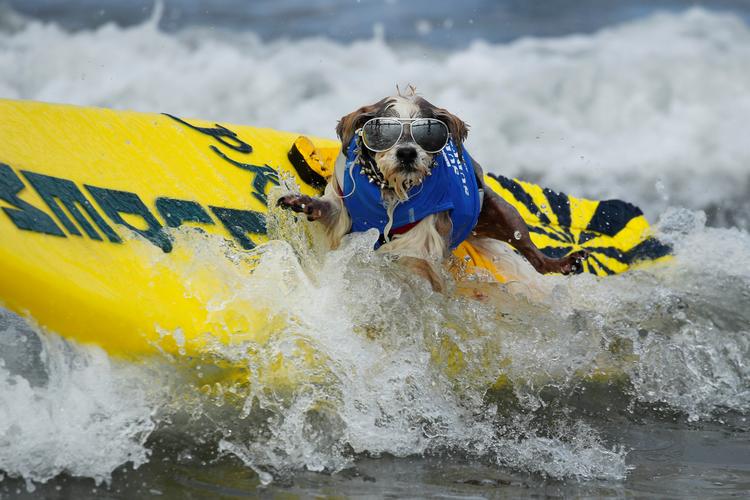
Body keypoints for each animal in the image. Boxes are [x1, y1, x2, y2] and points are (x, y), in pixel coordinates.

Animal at [278, 92, 588, 292]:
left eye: (427, 134)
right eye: (383, 132)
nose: (406, 153)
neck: (391, 192)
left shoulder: (425, 237)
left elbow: (417, 262)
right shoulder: (343, 209)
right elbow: (328, 210)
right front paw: (303, 202)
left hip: (501, 211)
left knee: (534, 255)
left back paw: (561, 263)